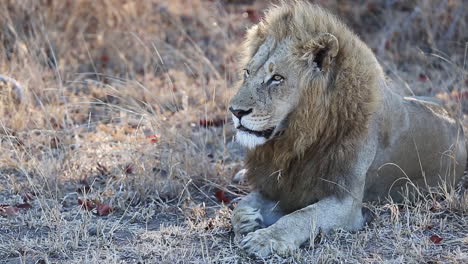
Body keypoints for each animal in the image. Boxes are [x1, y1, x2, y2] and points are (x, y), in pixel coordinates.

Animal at [229, 1, 466, 258]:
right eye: (247, 72)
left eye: (277, 78)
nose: (235, 111)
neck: (298, 138)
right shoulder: (285, 184)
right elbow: (242, 205)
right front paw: (248, 219)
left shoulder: (346, 203)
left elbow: (301, 216)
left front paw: (265, 238)